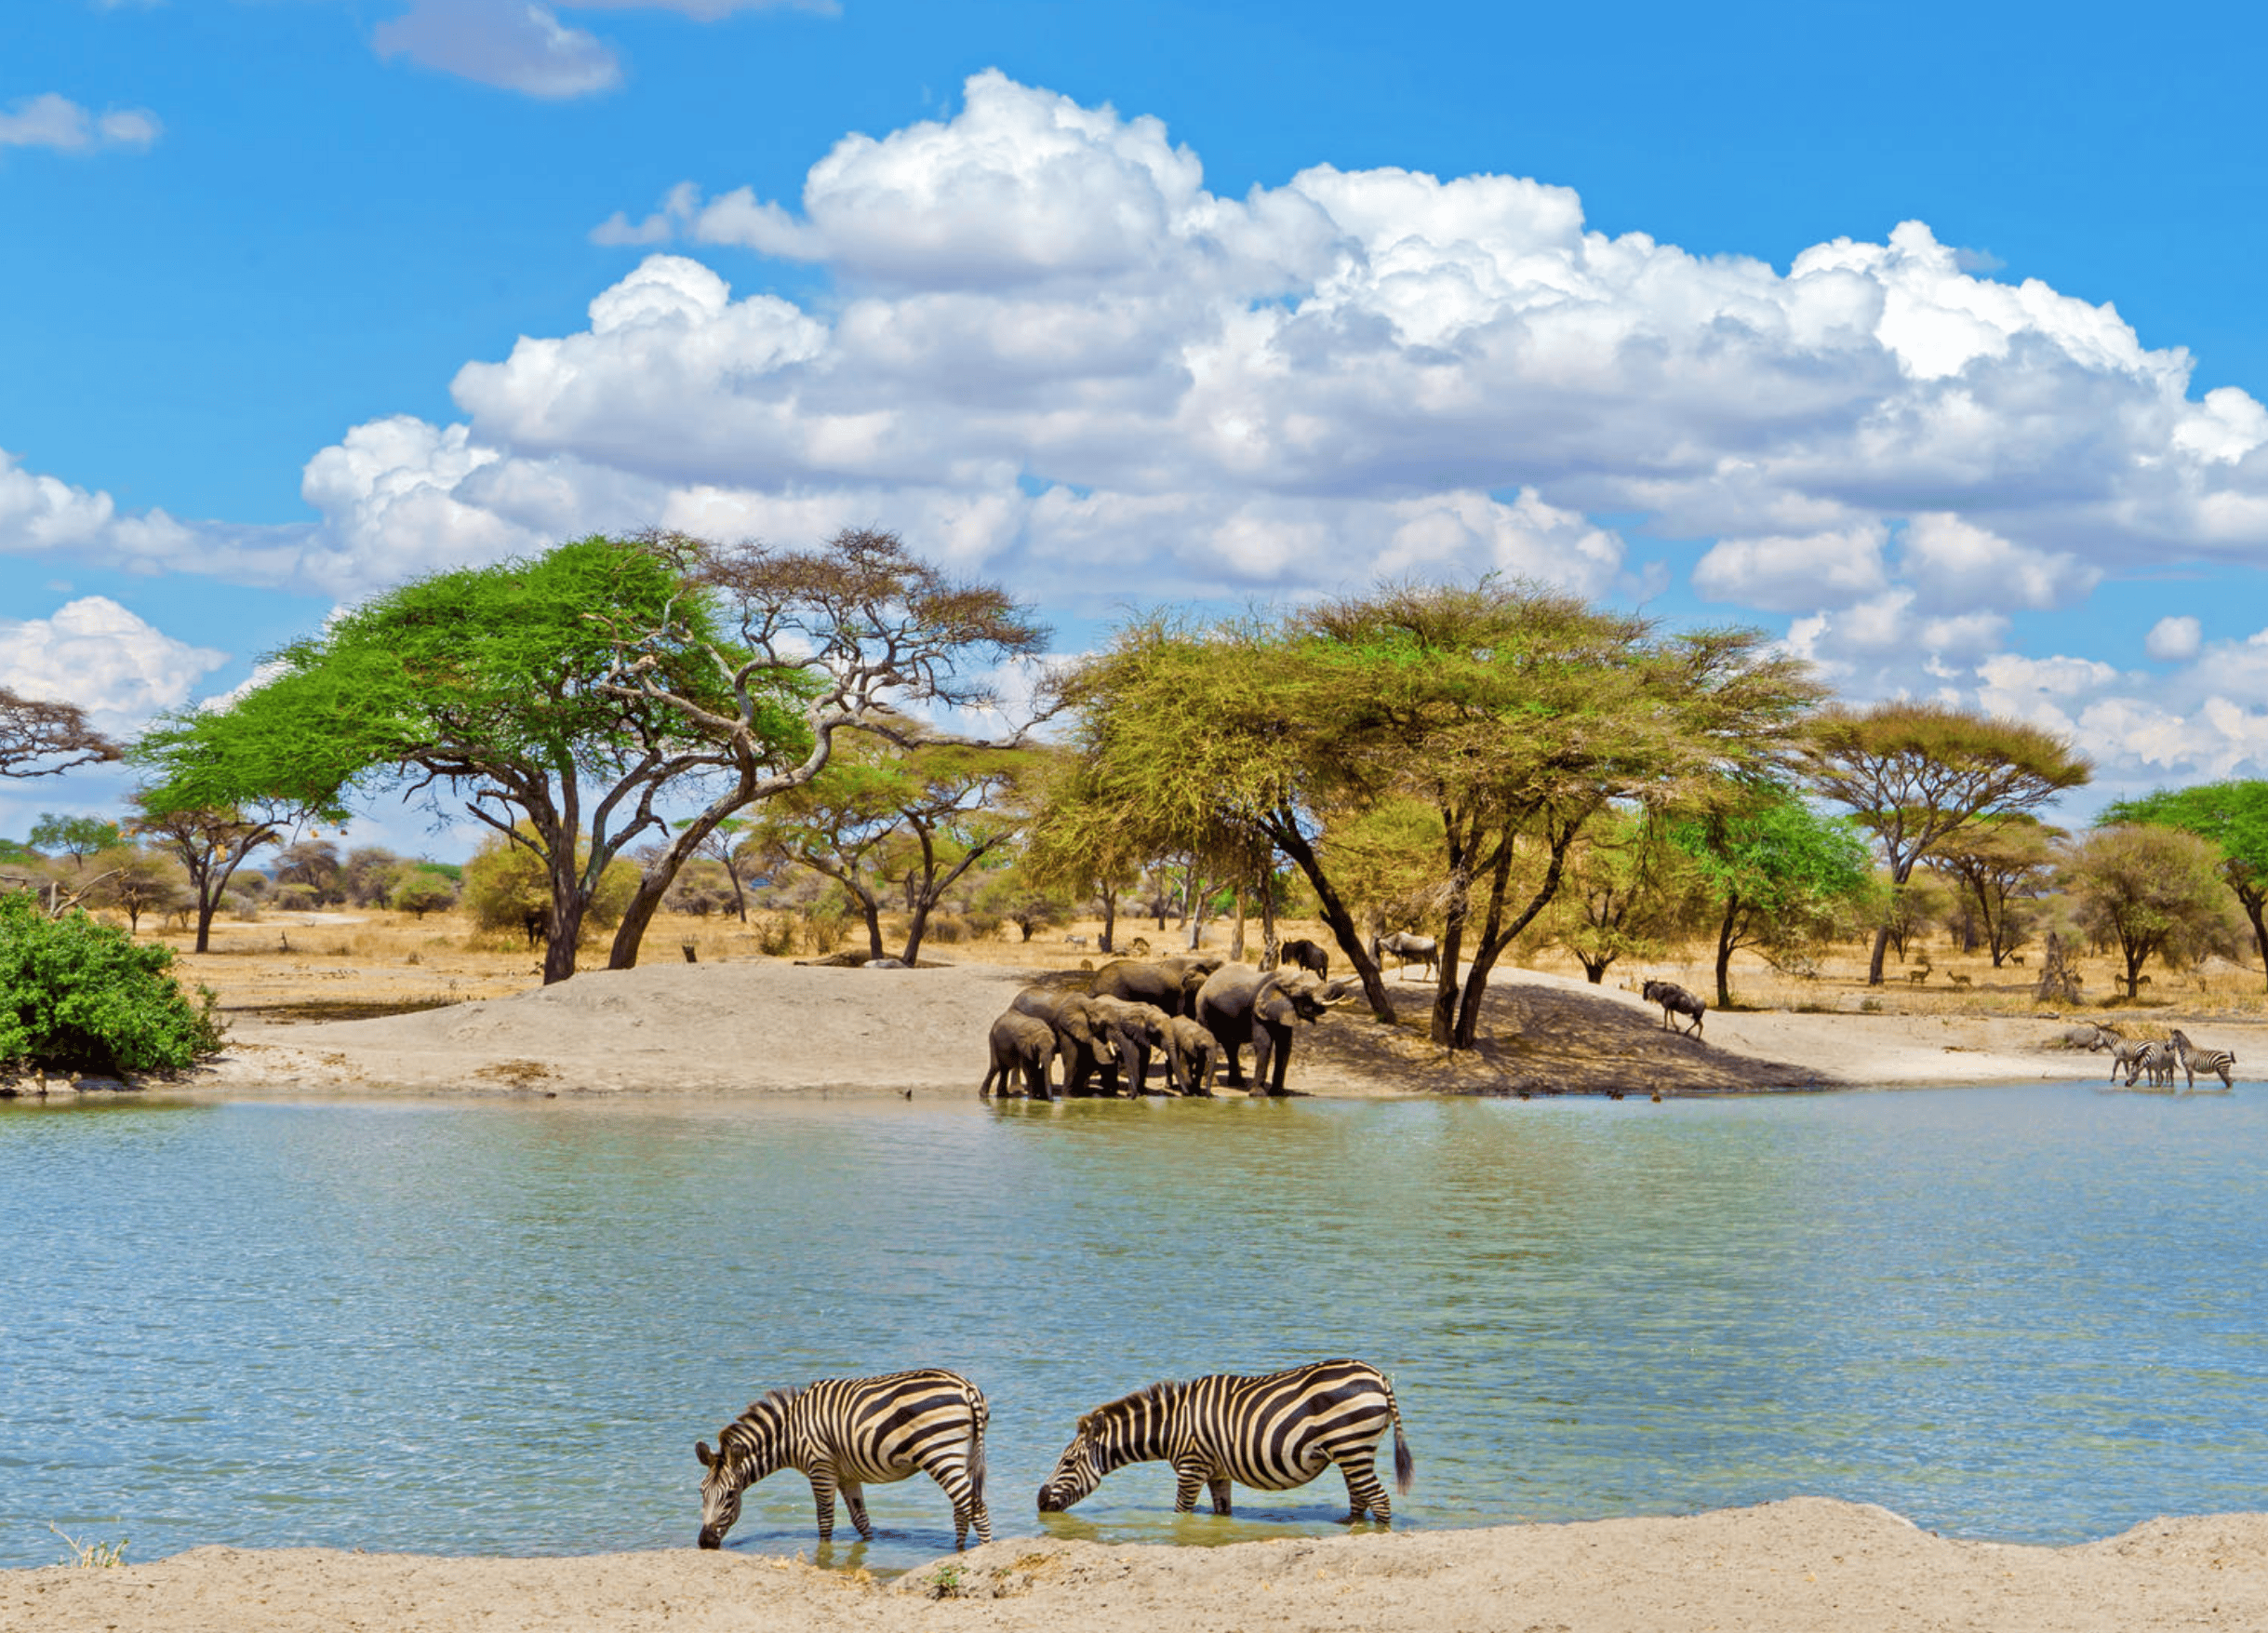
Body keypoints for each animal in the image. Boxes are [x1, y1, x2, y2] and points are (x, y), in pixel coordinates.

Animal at [694, 1369, 991, 1551]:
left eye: (730, 1495)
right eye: (701, 1492)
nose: (704, 1542)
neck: (789, 1433)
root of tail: (967, 1387)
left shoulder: (820, 1467)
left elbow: (825, 1520)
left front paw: (824, 1554)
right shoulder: (847, 1474)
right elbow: (861, 1520)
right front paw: (867, 1546)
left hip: (940, 1454)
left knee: (975, 1508)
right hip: (963, 1454)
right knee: (962, 1509)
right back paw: (960, 1553)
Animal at [1036, 1358, 1413, 1524]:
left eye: (1068, 1462)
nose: (1039, 1501)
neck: (1173, 1425)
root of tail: (1379, 1376)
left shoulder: (1191, 1467)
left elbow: (1181, 1512)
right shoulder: (1218, 1472)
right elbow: (1222, 1513)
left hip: (1351, 1446)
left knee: (1380, 1500)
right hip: (1351, 1452)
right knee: (1360, 1499)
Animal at [1195, 964, 1360, 1096]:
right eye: (1306, 990)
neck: (1283, 979)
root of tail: (1207, 981)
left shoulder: (1284, 1010)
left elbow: (1285, 1046)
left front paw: (1279, 1094)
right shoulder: (1257, 1010)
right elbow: (1264, 1044)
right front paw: (1258, 1096)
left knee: (1232, 1047)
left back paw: (1238, 1083)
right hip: (1202, 1008)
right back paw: (1214, 1084)